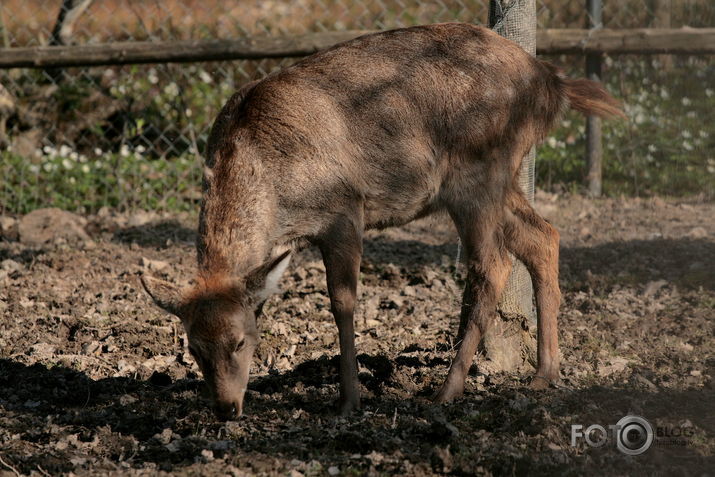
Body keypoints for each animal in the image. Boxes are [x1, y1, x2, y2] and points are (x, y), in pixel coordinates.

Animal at [143, 23, 624, 416]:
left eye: (241, 340)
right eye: (193, 347)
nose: (225, 408)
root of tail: (551, 82)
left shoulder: (344, 210)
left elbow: (342, 302)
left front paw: (349, 399)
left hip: (479, 171)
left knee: (494, 263)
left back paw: (447, 390)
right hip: (497, 179)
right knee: (544, 236)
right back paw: (545, 373)